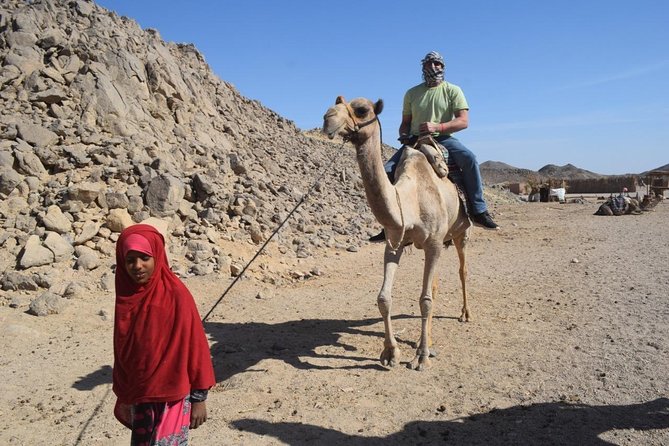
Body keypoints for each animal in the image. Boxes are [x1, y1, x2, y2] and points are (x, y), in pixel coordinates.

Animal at [322, 96, 470, 370]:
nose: (328, 118)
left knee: (462, 271)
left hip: (461, 233)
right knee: (434, 285)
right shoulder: (394, 242)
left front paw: (421, 356)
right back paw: (429, 339)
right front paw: (391, 353)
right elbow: (384, 298)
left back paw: (465, 314)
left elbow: (424, 300)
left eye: (362, 110)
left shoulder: (434, 243)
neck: (409, 201)